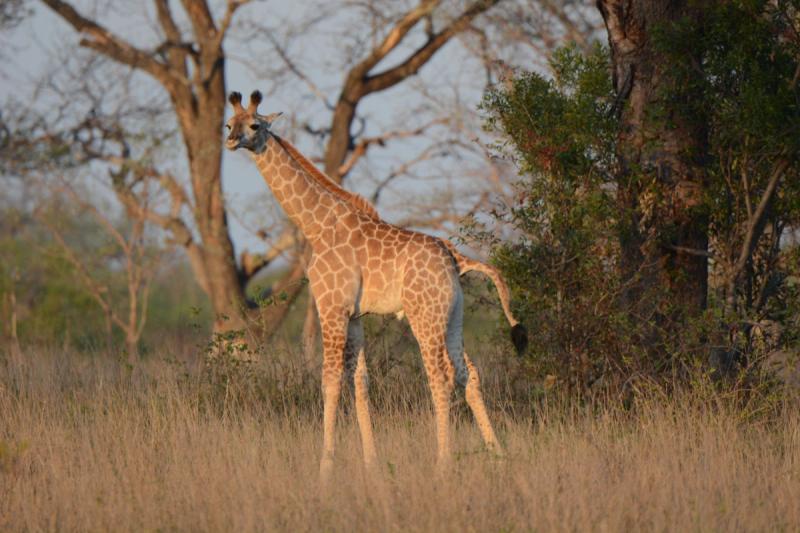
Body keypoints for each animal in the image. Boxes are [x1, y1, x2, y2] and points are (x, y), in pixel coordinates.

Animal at [225, 90, 528, 480]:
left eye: (254, 125)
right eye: (229, 124)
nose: (232, 140)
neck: (316, 225)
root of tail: (456, 258)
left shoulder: (331, 307)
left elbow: (330, 381)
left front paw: (325, 468)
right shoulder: (354, 315)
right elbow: (361, 382)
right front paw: (371, 464)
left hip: (424, 316)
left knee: (441, 376)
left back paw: (442, 463)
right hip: (453, 316)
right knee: (468, 373)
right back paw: (498, 455)